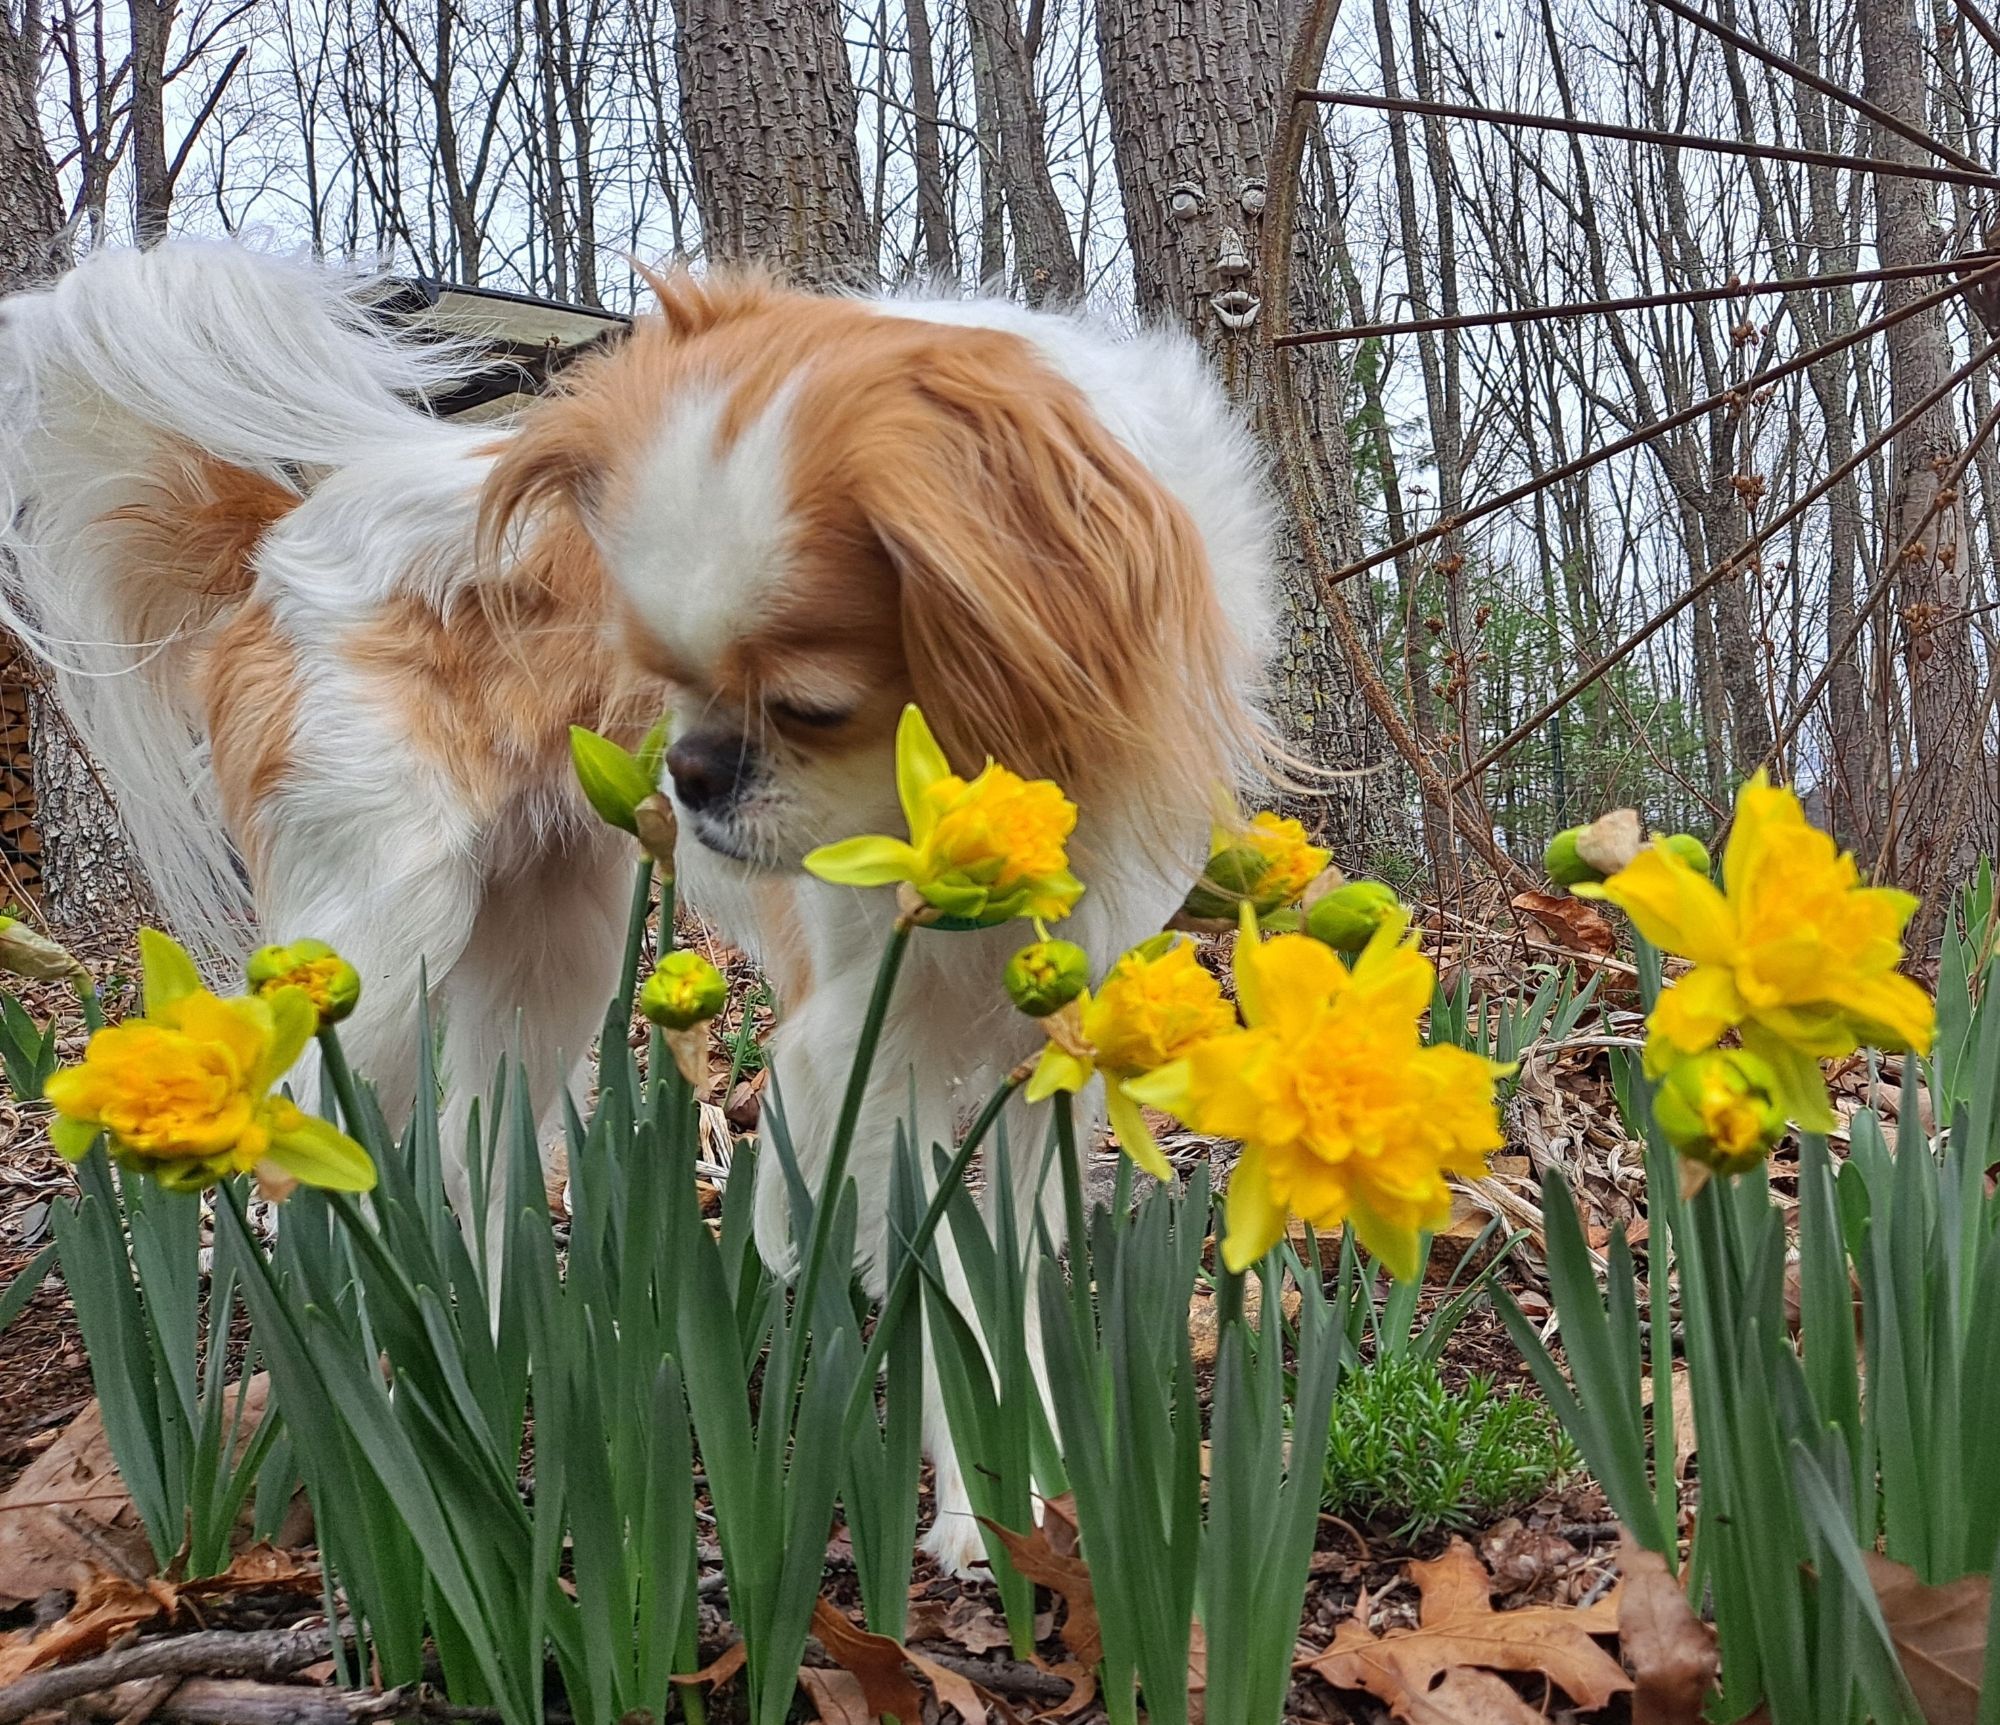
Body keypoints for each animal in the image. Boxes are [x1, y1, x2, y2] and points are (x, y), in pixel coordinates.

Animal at [0, 243, 1280, 1568]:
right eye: (661, 679)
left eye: (810, 705)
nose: (693, 773)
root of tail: (278, 534)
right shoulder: (874, 1046)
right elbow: (938, 1280)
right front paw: (982, 1511)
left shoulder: (1040, 1042)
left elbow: (1005, 1279)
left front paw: (1029, 1481)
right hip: (374, 953)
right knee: (309, 1169)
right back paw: (363, 1422)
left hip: (544, 957)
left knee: (467, 1155)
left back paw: (492, 1368)